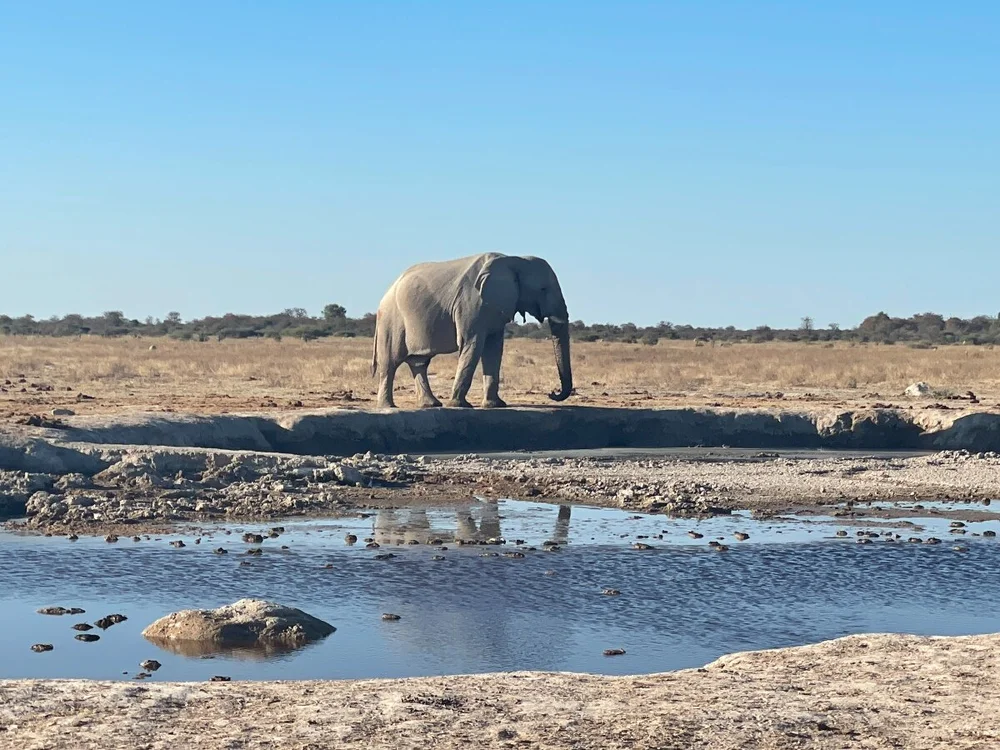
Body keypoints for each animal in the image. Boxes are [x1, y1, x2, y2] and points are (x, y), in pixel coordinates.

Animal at [371, 252, 573, 409]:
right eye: (543, 289)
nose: (552, 393)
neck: (514, 260)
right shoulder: (470, 302)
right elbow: (473, 344)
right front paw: (459, 405)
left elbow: (494, 349)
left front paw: (495, 405)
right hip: (391, 319)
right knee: (391, 362)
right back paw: (388, 406)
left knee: (419, 362)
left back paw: (431, 404)